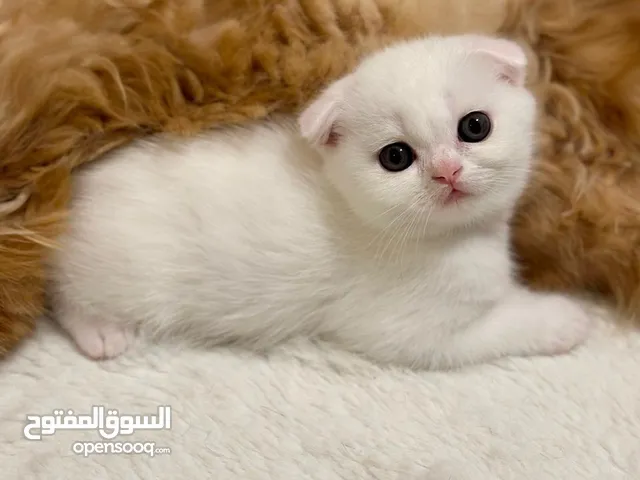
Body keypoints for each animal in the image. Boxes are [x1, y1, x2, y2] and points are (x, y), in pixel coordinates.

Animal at [48, 34, 592, 368]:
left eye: (474, 126)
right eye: (396, 157)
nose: (447, 171)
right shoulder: (405, 330)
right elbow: (499, 324)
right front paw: (562, 318)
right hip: (120, 270)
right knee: (66, 294)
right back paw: (99, 331)